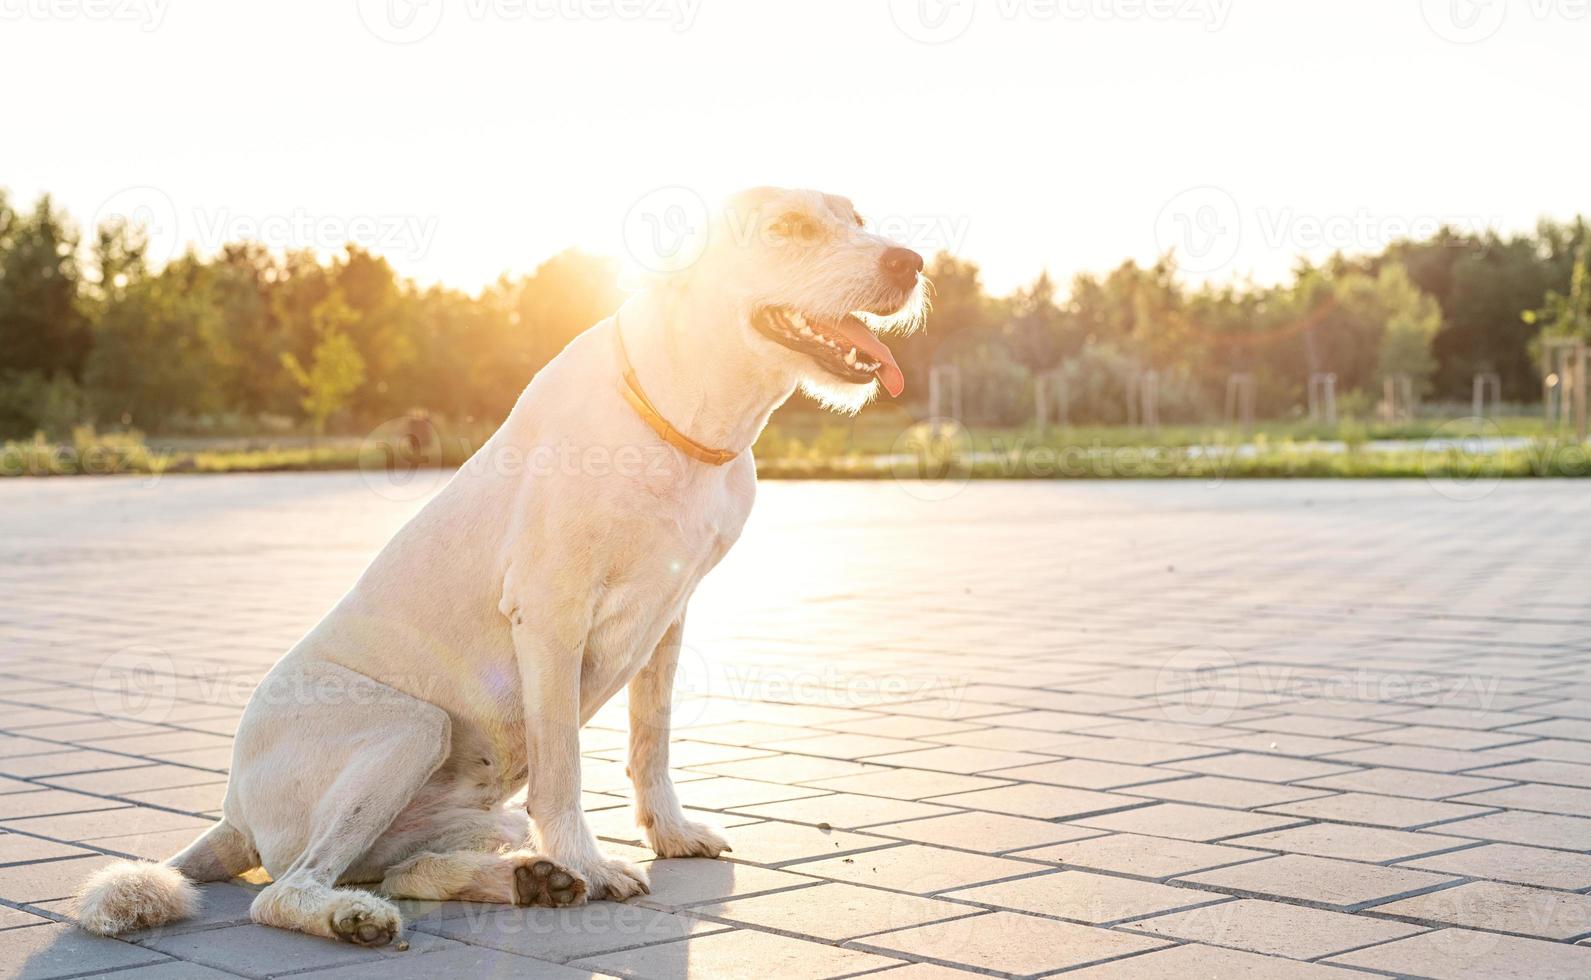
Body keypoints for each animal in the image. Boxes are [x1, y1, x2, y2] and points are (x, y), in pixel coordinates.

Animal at [74, 187, 929, 948]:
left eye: (856, 217)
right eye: (787, 228)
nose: (911, 260)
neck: (681, 411)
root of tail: (233, 815)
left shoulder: (670, 615)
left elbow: (651, 739)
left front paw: (668, 832)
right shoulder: (551, 617)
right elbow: (564, 767)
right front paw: (593, 862)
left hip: (470, 812)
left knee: (402, 869)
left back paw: (526, 881)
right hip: (411, 727)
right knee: (285, 891)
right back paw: (366, 916)